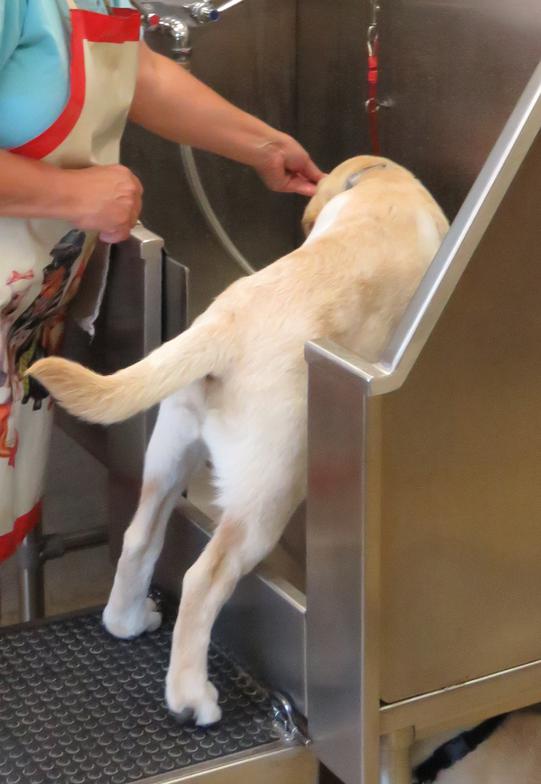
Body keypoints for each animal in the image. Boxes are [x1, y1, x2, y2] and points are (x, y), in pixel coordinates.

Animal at [28, 156, 448, 724]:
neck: (380, 182)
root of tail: (221, 328)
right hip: (267, 495)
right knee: (203, 579)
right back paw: (190, 698)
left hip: (169, 449)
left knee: (139, 537)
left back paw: (127, 619)